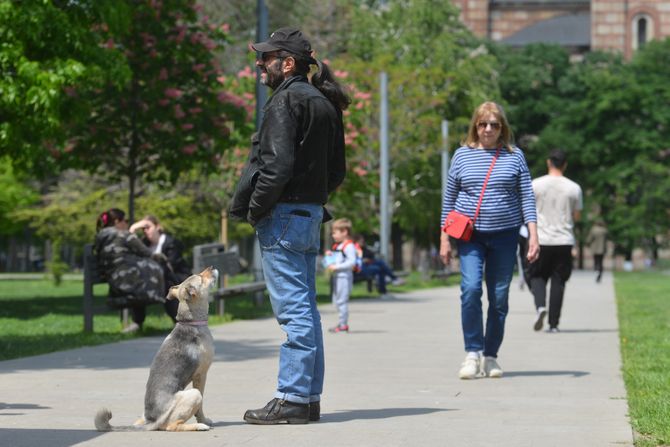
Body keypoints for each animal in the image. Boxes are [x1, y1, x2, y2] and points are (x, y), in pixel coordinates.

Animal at [95, 268, 218, 432]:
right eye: (200, 277)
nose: (210, 267)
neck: (190, 322)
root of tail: (152, 421)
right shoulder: (201, 375)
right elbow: (201, 407)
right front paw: (204, 419)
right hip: (193, 395)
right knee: (172, 426)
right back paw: (199, 425)